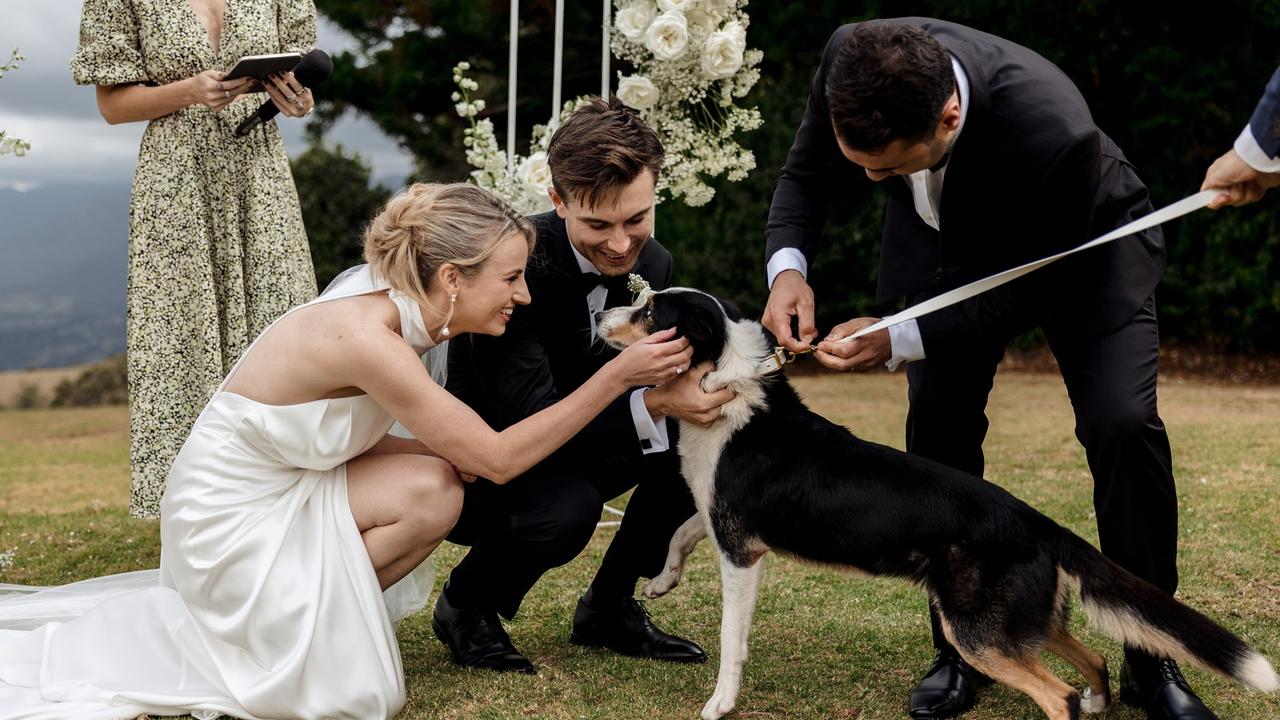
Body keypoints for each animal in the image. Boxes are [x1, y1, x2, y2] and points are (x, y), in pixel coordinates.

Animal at [593, 285, 1274, 717]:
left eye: (649, 310)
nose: (598, 317)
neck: (725, 384)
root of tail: (1036, 521)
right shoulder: (725, 520)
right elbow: (681, 530)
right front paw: (661, 582)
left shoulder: (741, 552)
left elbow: (731, 639)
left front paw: (719, 704)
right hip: (1015, 624)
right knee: (1092, 661)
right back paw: (1099, 700)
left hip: (975, 632)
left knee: (1056, 697)